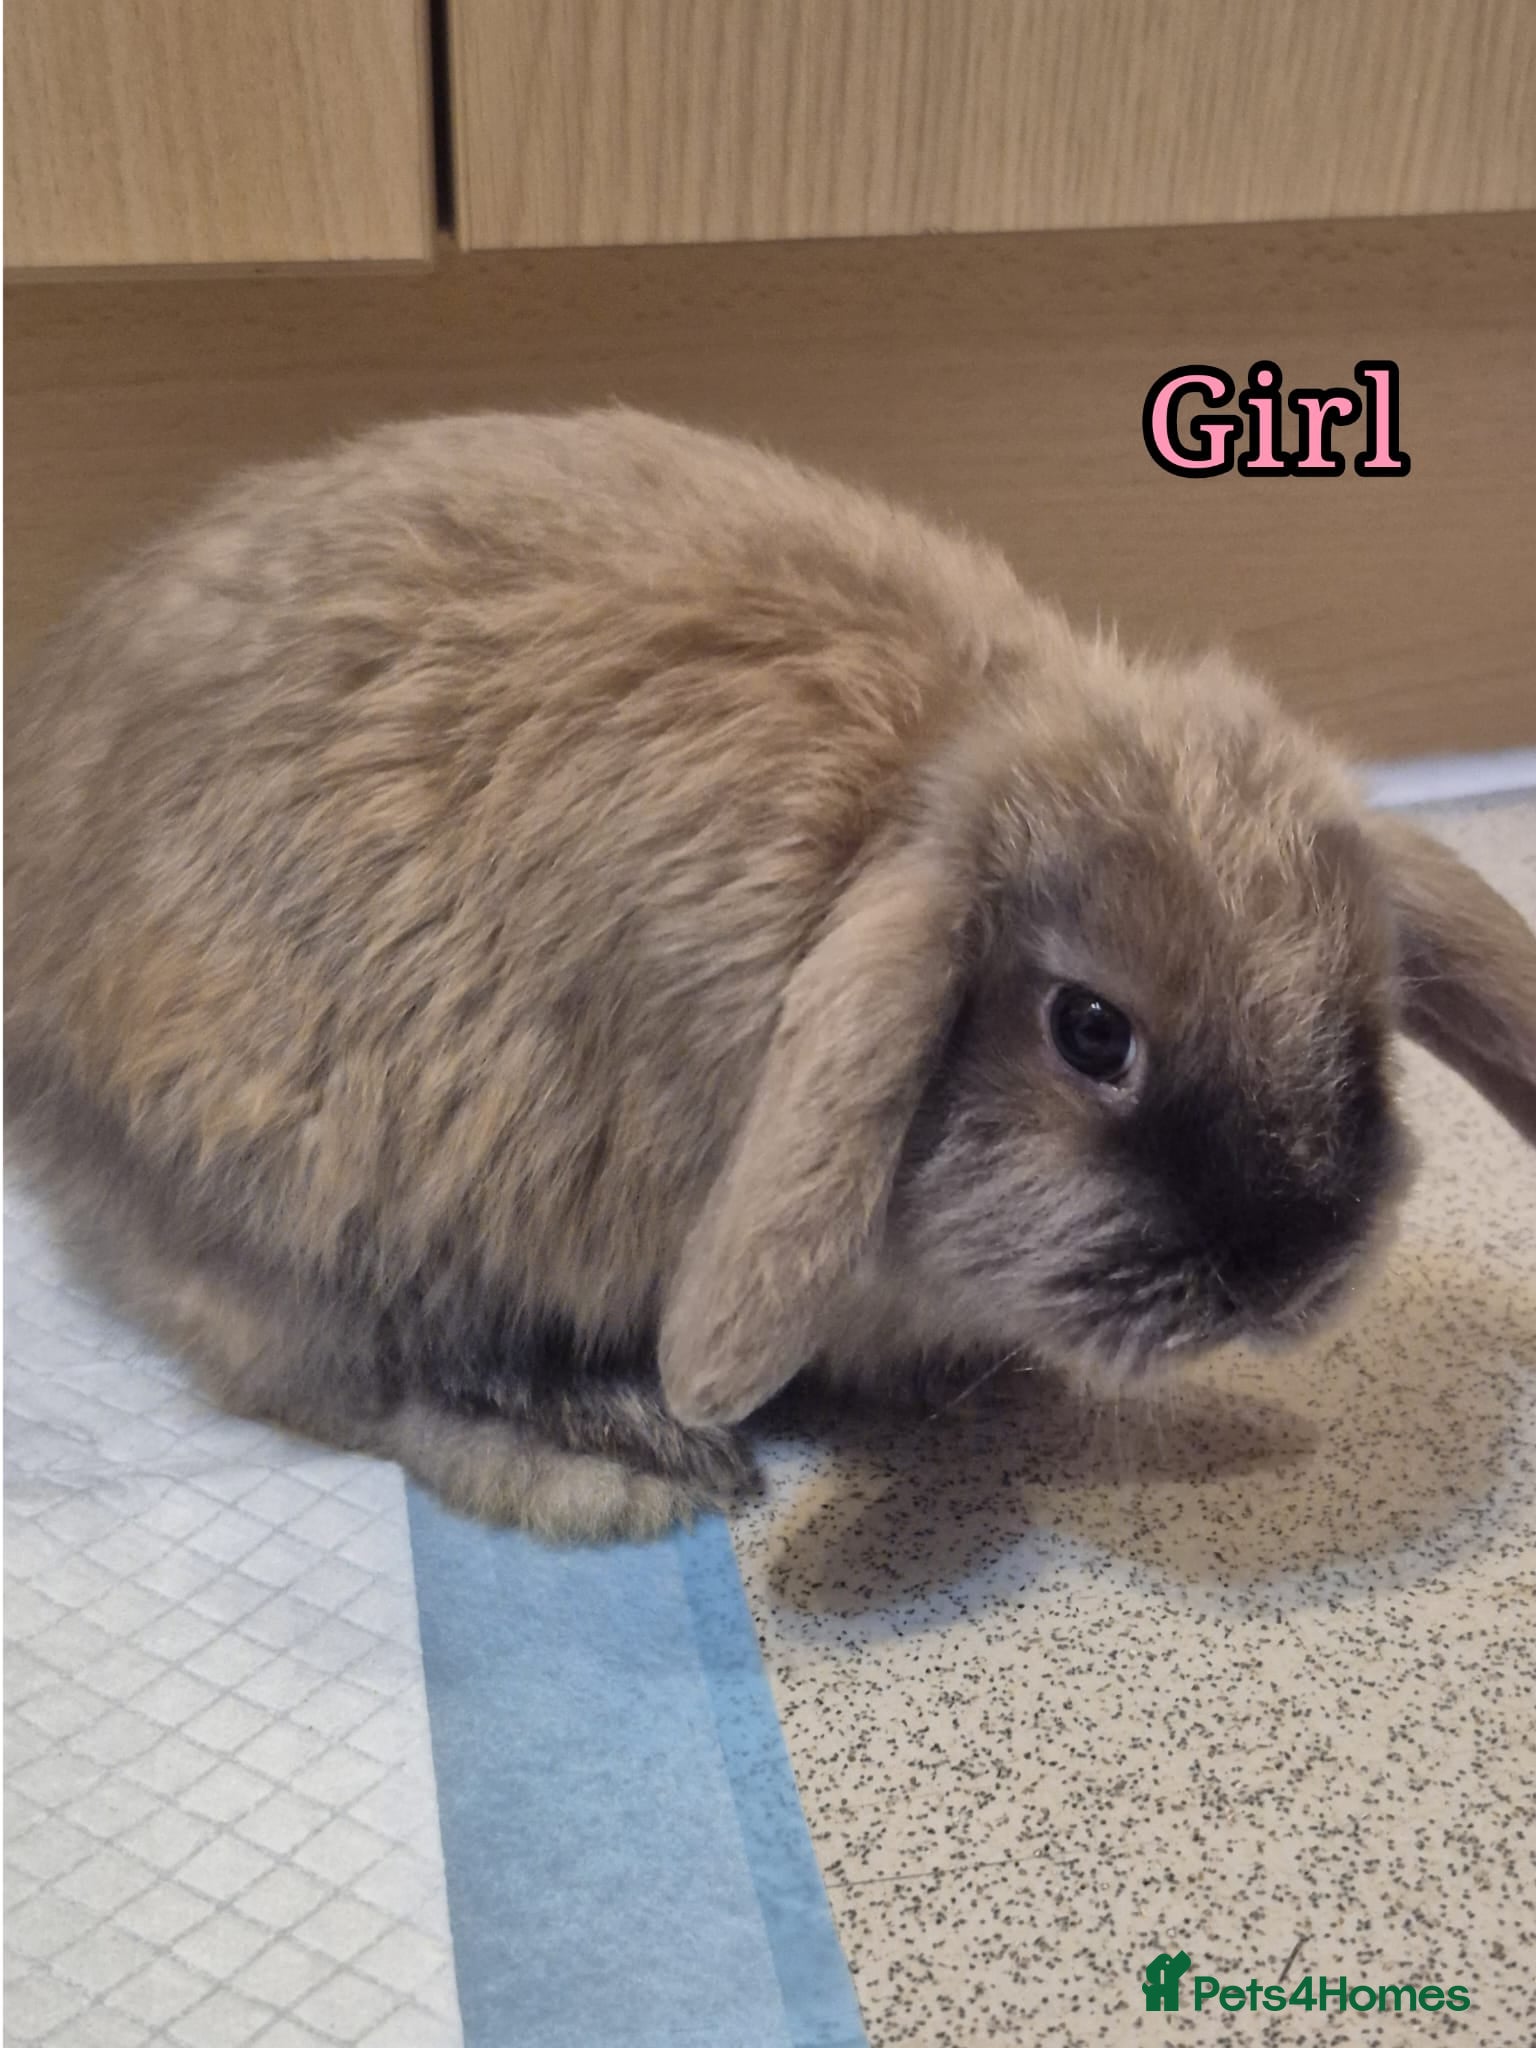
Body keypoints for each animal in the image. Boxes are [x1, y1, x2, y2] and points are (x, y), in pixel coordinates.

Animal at [7, 407, 1535, 1543]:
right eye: (1092, 1029)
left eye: (1363, 1009)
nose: (1296, 1266)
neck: (907, 792)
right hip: (317, 1191)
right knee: (357, 1379)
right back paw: (618, 1457)